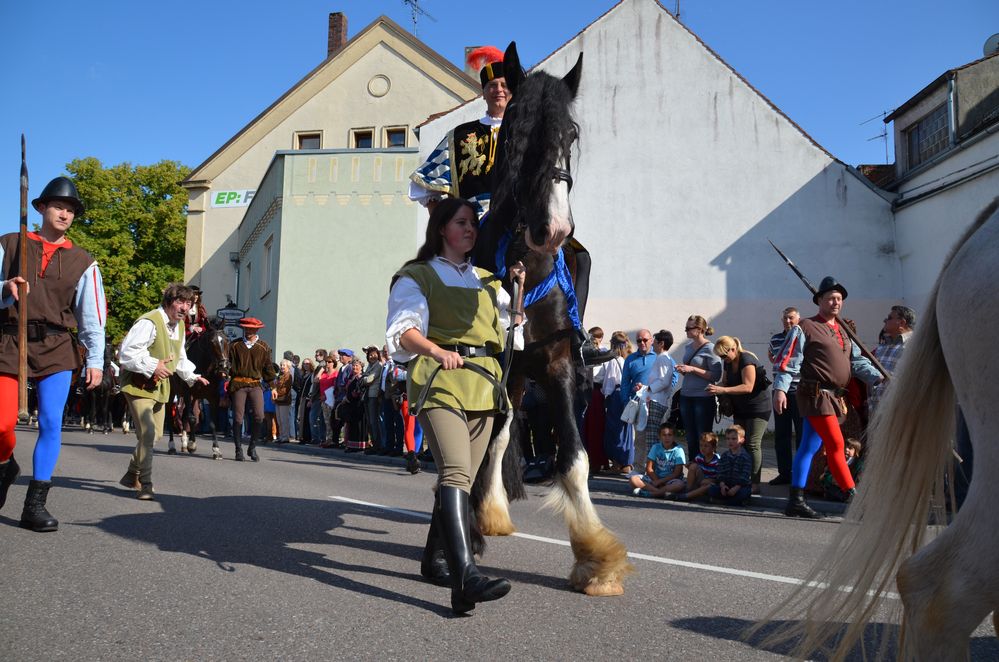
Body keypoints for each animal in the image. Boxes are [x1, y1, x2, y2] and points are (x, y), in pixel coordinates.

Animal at [169, 322, 231, 462]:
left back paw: (184, 443)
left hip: (194, 398)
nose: (224, 366)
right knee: (172, 416)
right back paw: (172, 446)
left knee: (184, 415)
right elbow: (192, 419)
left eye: (227, 340)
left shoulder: (213, 397)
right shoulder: (187, 393)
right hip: (172, 394)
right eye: (212, 342)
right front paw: (192, 444)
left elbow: (212, 423)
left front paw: (216, 450)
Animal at [470, 44, 632, 600]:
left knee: (503, 437)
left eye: (571, 135)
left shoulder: (558, 364)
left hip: (522, 378)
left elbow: (575, 460)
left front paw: (597, 561)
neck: (527, 265)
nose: (554, 228)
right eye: (516, 131)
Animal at [756, 200, 999, 660]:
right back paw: (803, 502)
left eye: (836, 300)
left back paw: (806, 502)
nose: (835, 304)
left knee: (814, 450)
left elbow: (857, 372)